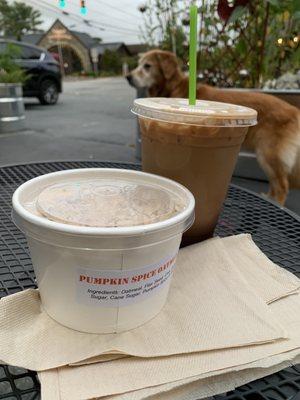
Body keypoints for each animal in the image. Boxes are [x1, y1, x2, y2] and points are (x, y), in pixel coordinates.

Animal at [127, 49, 300, 205]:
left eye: (147, 66)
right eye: (138, 64)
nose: (128, 76)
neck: (174, 87)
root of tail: (294, 109)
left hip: (268, 153)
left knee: (282, 186)